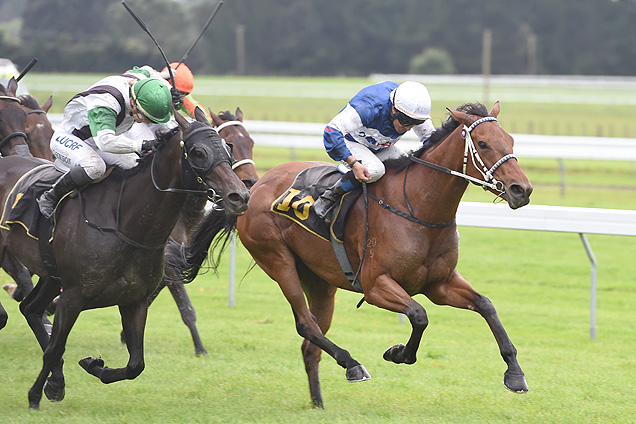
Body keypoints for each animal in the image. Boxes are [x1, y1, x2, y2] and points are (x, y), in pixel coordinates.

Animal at [139, 107, 258, 354]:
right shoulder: (167, 259)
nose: (250, 183)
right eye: (231, 143)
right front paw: (200, 348)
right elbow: (186, 307)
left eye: (250, 142)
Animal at [173, 102, 532, 408]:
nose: (522, 190)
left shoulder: (439, 284)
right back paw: (352, 364)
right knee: (306, 325)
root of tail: (254, 187)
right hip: (278, 260)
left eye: (510, 140)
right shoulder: (376, 286)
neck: (417, 207)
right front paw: (397, 352)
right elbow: (419, 316)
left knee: (311, 343)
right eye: (483, 144)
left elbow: (486, 305)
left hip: (320, 282)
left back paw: (318, 403)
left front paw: (515, 374)